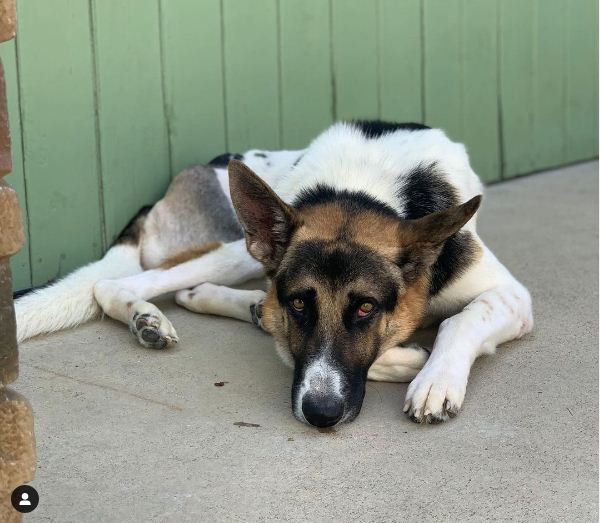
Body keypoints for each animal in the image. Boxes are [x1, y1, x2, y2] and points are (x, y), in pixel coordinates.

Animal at [14, 121, 532, 428]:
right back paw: (150, 318)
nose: (320, 415)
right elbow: (293, 342)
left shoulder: (512, 297)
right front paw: (412, 359)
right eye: (300, 302)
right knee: (114, 284)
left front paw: (435, 381)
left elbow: (460, 319)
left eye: (366, 307)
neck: (359, 191)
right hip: (239, 249)